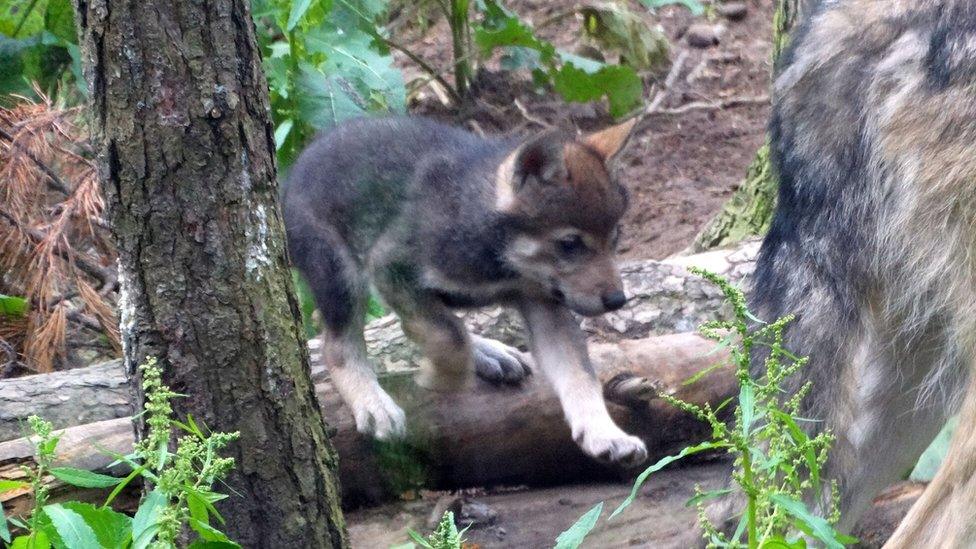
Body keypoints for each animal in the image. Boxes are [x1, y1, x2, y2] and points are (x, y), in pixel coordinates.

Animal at [282, 117, 648, 464]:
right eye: (569, 244)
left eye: (615, 237)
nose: (618, 300)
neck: (498, 254)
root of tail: (292, 174)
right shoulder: (389, 267)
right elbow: (450, 336)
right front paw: (438, 376)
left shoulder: (544, 303)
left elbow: (579, 374)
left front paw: (605, 434)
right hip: (339, 274)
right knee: (337, 345)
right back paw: (373, 403)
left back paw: (488, 353)